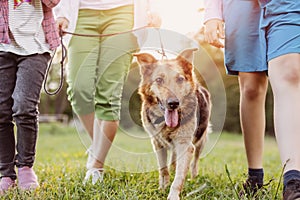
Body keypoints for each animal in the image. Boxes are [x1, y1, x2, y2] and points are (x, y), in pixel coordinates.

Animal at [135, 48, 212, 200]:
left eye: (180, 79)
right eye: (159, 80)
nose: (173, 103)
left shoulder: (186, 146)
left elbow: (179, 178)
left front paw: (173, 195)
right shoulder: (157, 143)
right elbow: (163, 169)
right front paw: (162, 188)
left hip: (201, 141)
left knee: (194, 162)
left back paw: (193, 178)